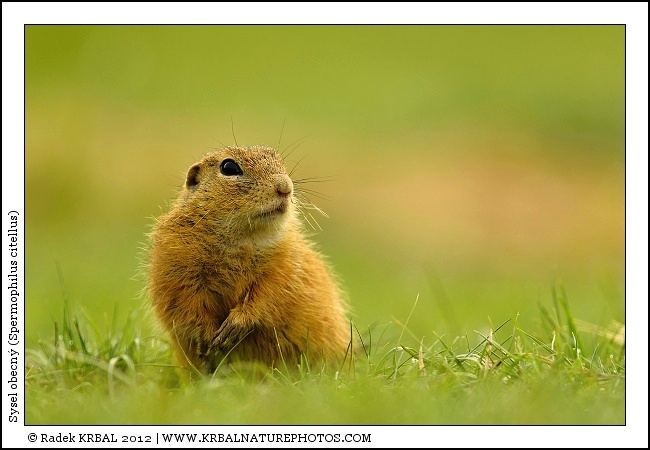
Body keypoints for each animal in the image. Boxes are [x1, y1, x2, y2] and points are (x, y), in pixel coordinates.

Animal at [147, 145, 350, 375]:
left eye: (279, 161)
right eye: (229, 167)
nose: (285, 187)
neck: (239, 238)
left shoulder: (284, 265)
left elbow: (269, 295)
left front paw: (234, 325)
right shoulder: (174, 262)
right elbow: (186, 303)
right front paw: (206, 339)